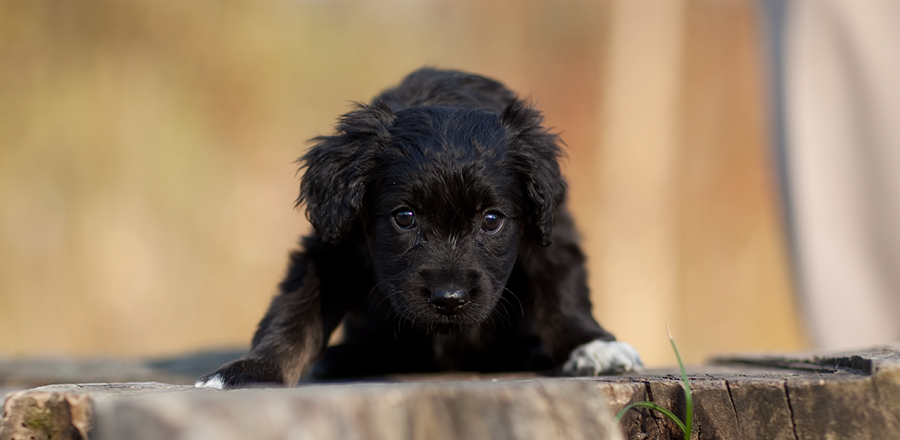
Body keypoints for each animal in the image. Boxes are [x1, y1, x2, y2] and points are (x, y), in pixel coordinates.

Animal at [200, 69, 644, 388]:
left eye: (491, 220)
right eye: (404, 217)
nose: (449, 299)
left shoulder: (551, 236)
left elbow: (563, 294)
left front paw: (594, 347)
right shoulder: (331, 248)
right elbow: (294, 312)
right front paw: (251, 370)